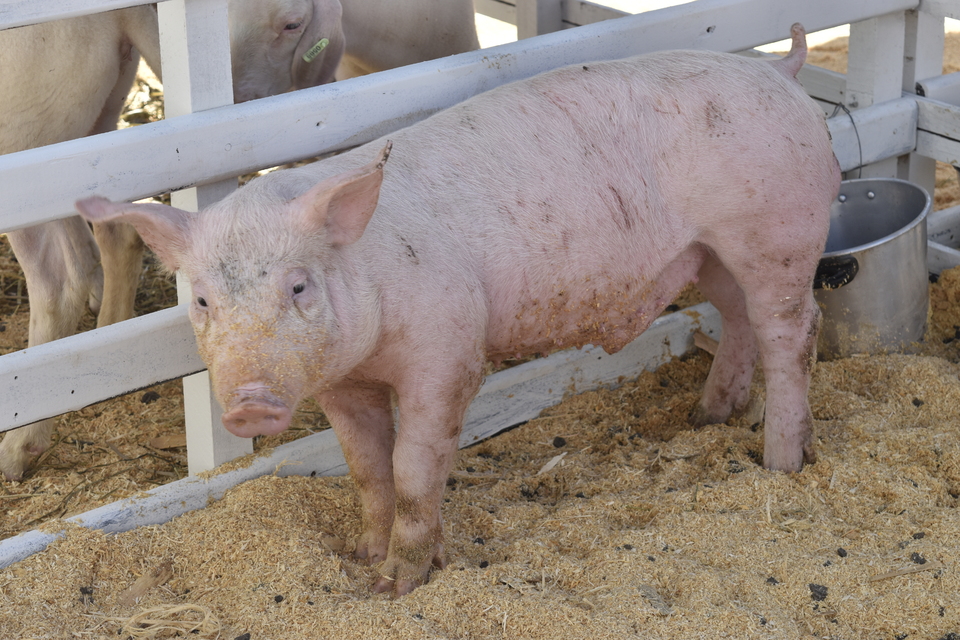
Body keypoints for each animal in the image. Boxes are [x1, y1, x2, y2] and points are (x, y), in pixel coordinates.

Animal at [77, 23, 840, 596]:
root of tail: (784, 72)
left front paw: (397, 584)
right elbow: (368, 470)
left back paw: (780, 462)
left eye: (298, 287)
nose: (249, 407)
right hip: (711, 254)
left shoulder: (448, 354)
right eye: (204, 299)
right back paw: (704, 419)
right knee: (740, 322)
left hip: (778, 232)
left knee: (793, 331)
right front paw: (362, 558)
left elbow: (416, 469)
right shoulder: (342, 385)